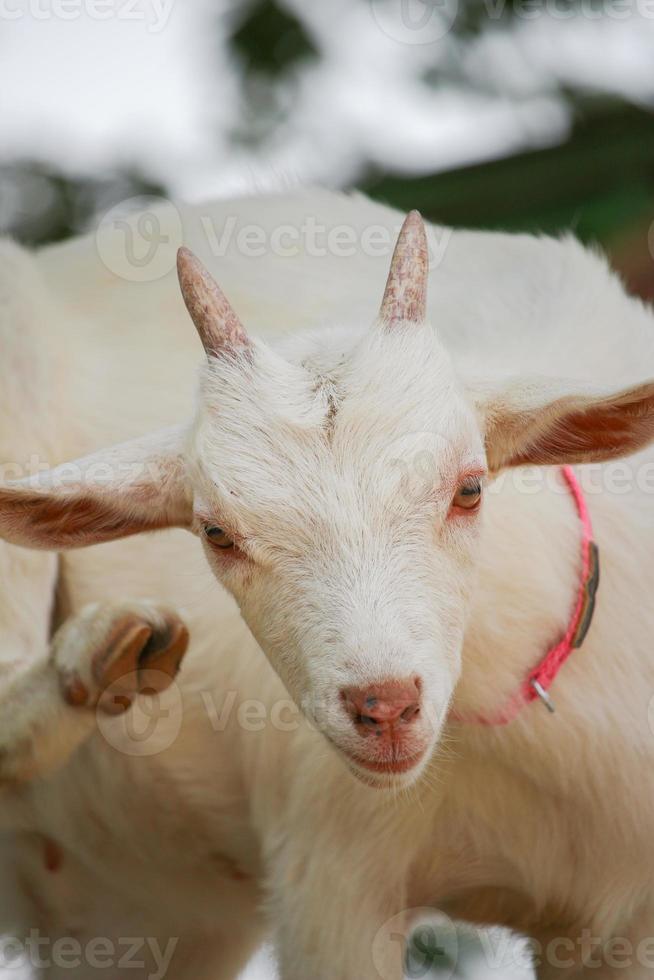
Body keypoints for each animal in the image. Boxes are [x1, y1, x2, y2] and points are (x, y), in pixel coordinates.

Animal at [1, 189, 654, 980]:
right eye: (216, 533)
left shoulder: (624, 924)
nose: (385, 706)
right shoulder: (331, 879)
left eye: (469, 488)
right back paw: (103, 657)